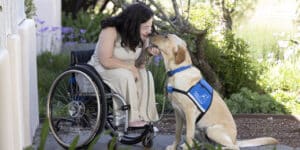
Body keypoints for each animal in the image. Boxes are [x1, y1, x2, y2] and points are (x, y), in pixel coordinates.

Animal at [150, 33, 278, 149]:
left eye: (166, 37)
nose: (151, 35)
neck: (178, 71)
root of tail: (235, 139)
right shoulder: (177, 112)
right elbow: (177, 134)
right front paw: (174, 146)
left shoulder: (190, 113)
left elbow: (188, 136)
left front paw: (186, 147)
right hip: (200, 130)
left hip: (212, 130)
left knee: (233, 147)